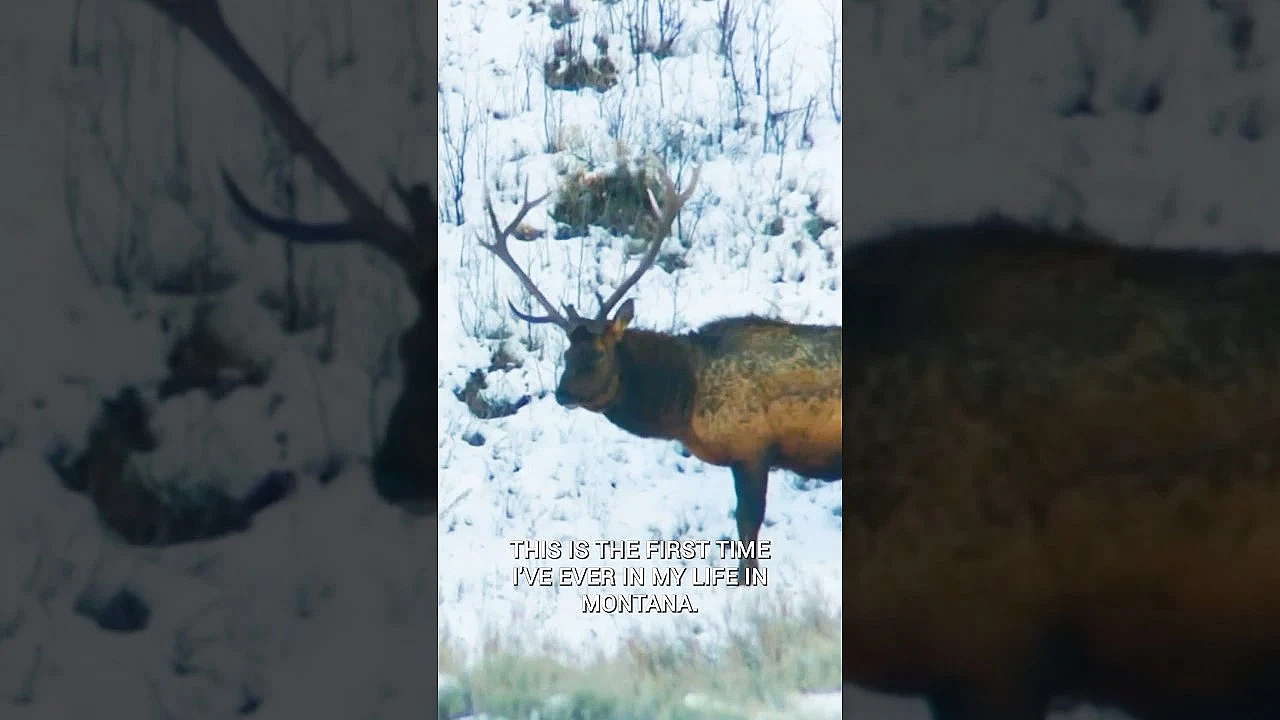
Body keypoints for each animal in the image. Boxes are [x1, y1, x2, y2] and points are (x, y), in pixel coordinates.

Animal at [478, 164, 842, 585]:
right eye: (566, 354)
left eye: (597, 354)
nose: (562, 393)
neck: (686, 404)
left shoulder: (752, 446)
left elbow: (747, 526)